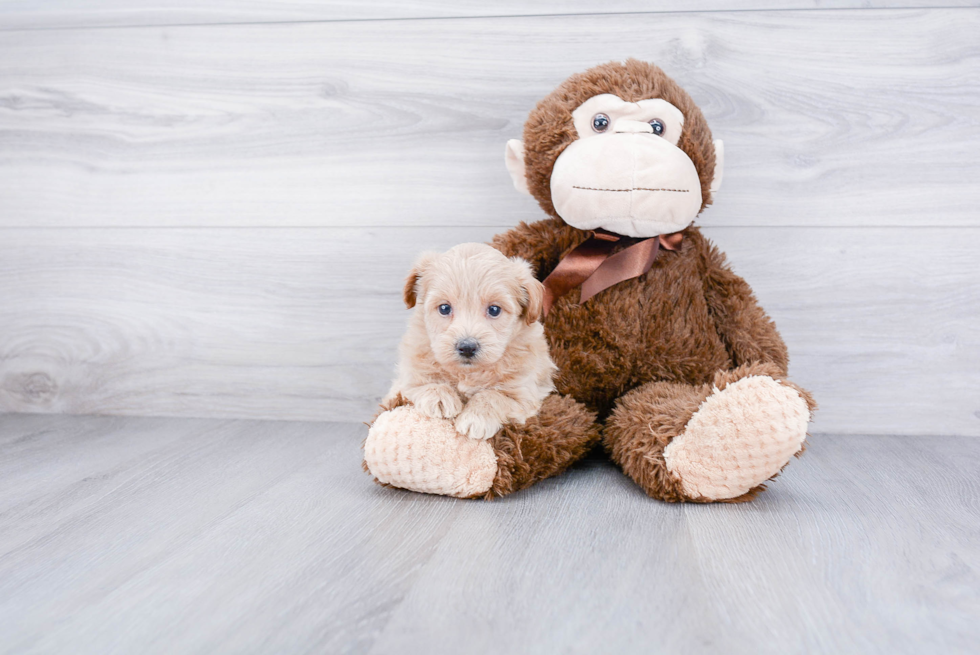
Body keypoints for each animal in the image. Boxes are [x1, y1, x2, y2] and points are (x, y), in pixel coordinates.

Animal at [384, 245, 556, 440]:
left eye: (494, 310)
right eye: (444, 308)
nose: (467, 347)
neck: (467, 373)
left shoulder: (524, 395)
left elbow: (492, 396)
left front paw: (476, 418)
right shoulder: (406, 377)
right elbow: (419, 384)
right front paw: (439, 395)